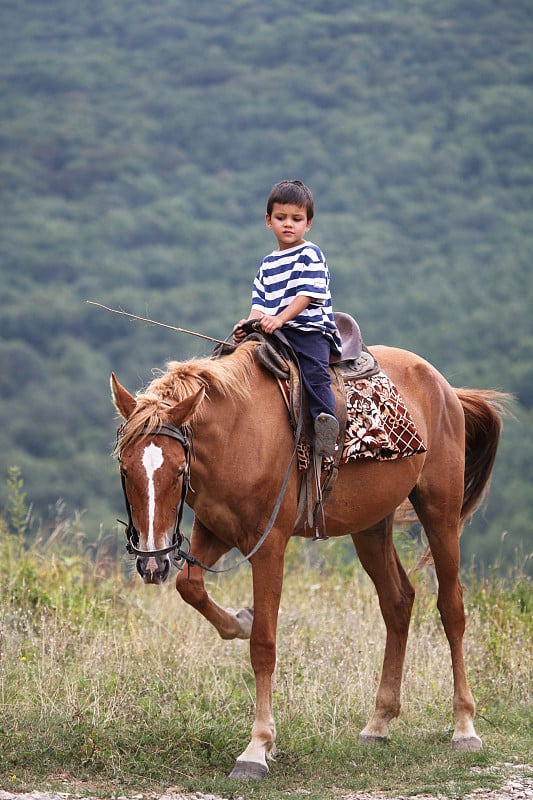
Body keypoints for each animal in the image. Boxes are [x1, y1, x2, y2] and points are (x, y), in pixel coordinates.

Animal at [110, 340, 510, 780]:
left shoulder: (269, 546)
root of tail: (446, 390)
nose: (151, 563)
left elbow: (263, 645)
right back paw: (379, 722)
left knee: (451, 609)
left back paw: (464, 726)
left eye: (180, 470)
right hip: (371, 526)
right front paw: (240, 620)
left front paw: (257, 748)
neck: (238, 433)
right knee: (398, 602)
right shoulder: (214, 530)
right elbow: (190, 586)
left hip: (441, 512)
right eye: (125, 469)